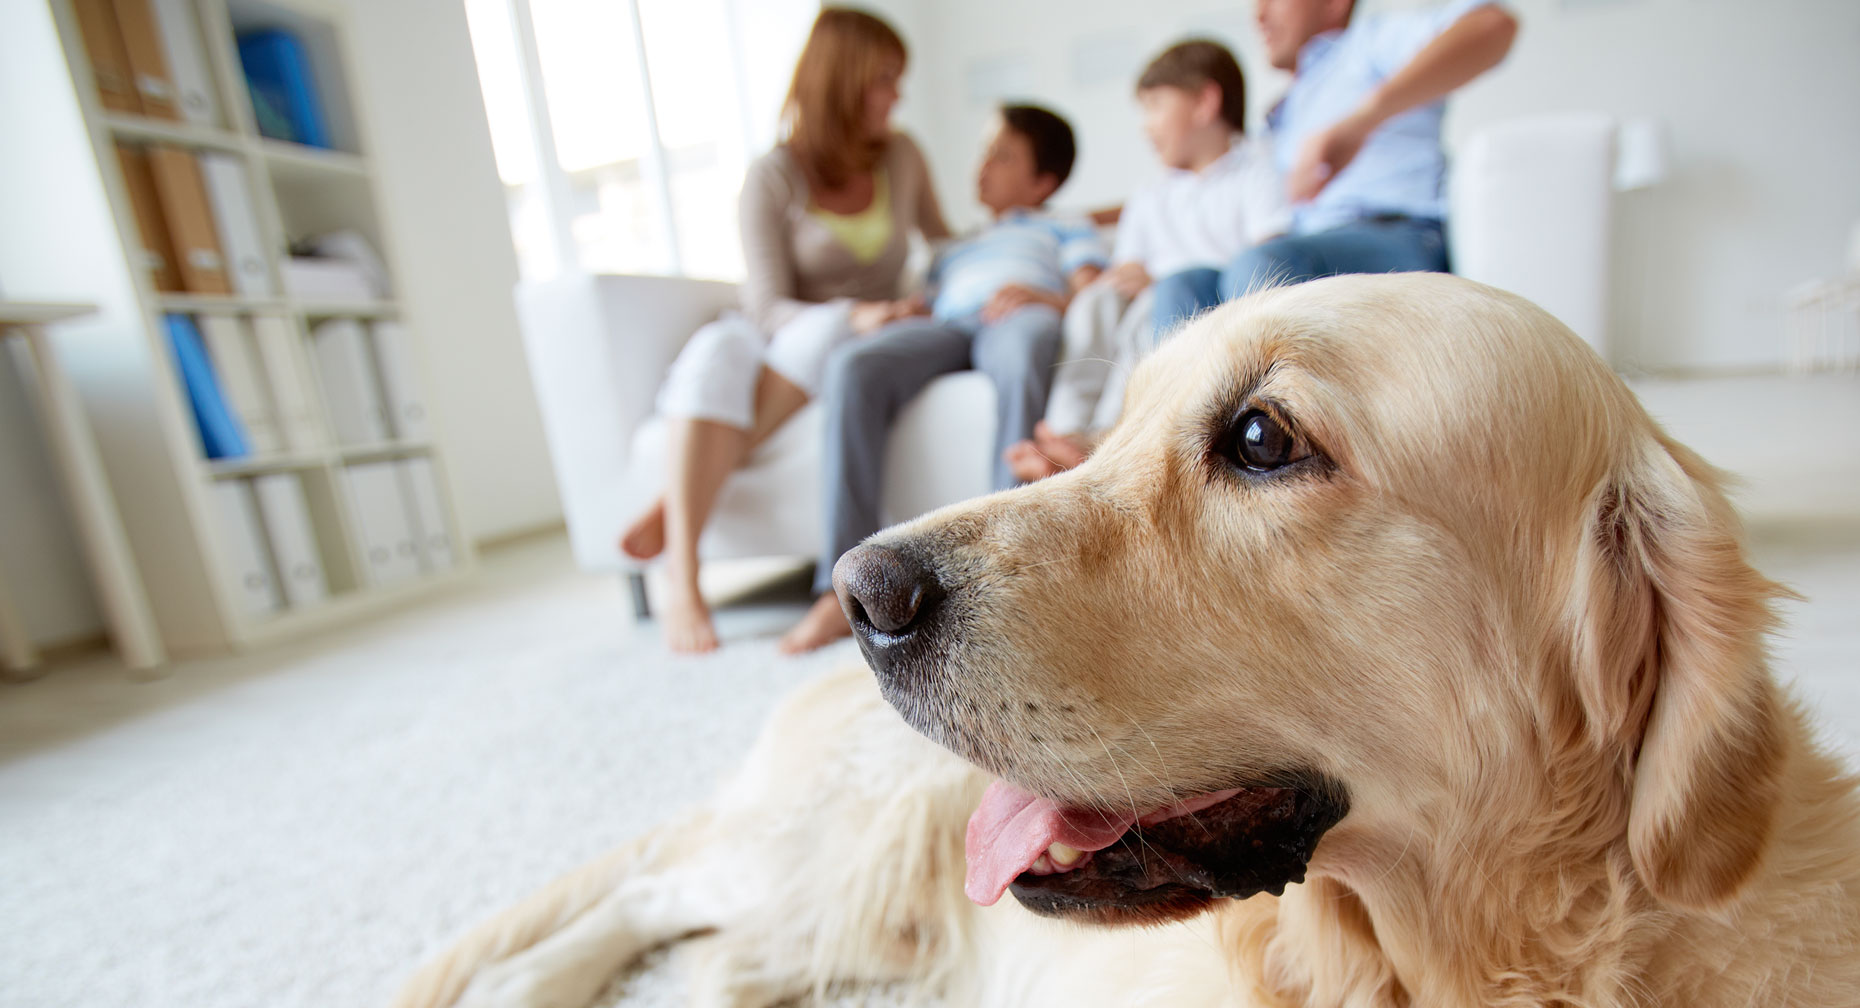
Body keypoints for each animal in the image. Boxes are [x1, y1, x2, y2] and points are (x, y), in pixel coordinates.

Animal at [392, 277, 1860, 1008]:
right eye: (1114, 426)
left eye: (1262, 438)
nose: (859, 592)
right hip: (845, 858)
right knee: (660, 894)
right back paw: (524, 984)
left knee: (710, 955)